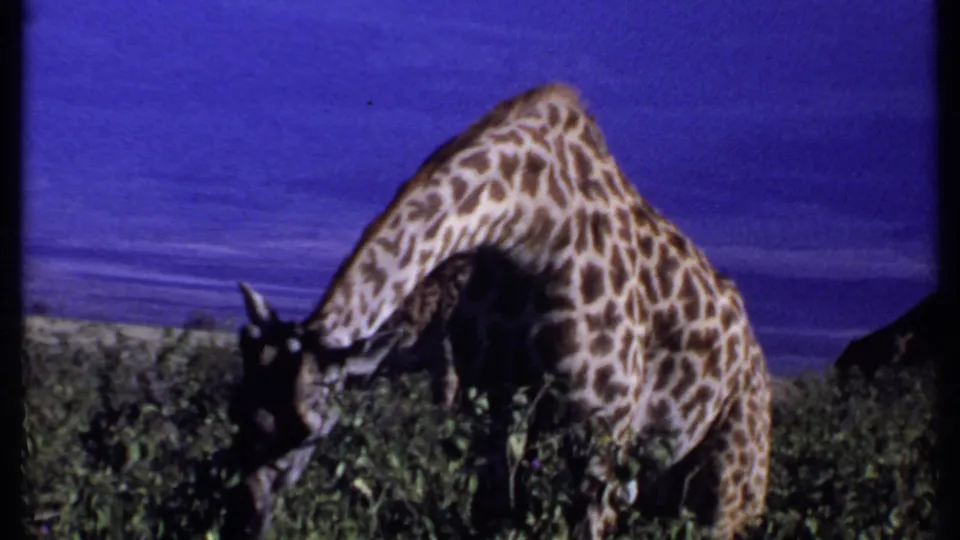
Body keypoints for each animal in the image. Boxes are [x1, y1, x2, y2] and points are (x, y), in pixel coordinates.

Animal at [224, 82, 772, 540]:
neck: (529, 224)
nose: (245, 520)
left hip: (730, 481)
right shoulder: (489, 408)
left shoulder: (598, 431)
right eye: (237, 408)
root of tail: (755, 361)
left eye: (306, 431)